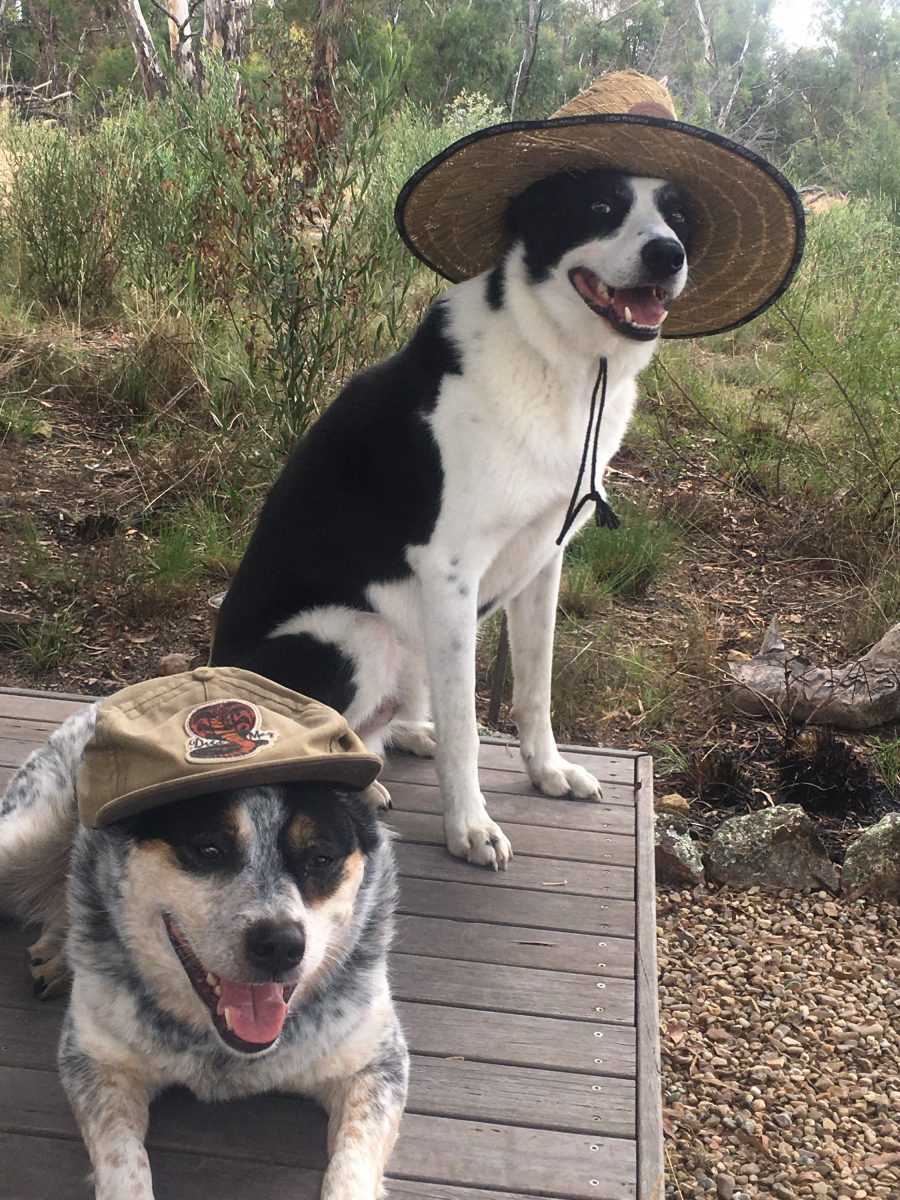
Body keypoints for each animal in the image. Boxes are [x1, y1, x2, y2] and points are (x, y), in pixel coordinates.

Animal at [0, 705, 408, 1195]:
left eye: (322, 859)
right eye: (210, 849)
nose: (279, 945)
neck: (225, 1054)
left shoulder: (378, 1065)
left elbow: (351, 1167)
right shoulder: (95, 1063)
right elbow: (124, 1164)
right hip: (21, 837)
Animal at [213, 166, 691, 864]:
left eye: (678, 215)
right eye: (601, 205)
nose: (667, 254)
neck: (560, 363)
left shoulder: (544, 562)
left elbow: (534, 687)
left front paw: (547, 772)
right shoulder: (451, 572)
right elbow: (468, 725)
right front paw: (469, 826)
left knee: (389, 724)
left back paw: (408, 738)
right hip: (359, 635)